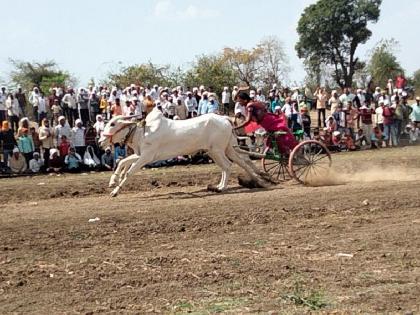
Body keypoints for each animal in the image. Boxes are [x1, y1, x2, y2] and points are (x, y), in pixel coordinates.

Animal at [98, 109, 270, 198]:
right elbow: (122, 162)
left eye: (112, 124)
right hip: (222, 149)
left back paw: (222, 188)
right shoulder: (141, 155)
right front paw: (113, 181)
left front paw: (115, 191)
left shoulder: (146, 157)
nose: (100, 141)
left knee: (228, 165)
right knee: (240, 162)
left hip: (217, 150)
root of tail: (225, 119)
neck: (142, 132)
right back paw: (257, 180)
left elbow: (129, 171)